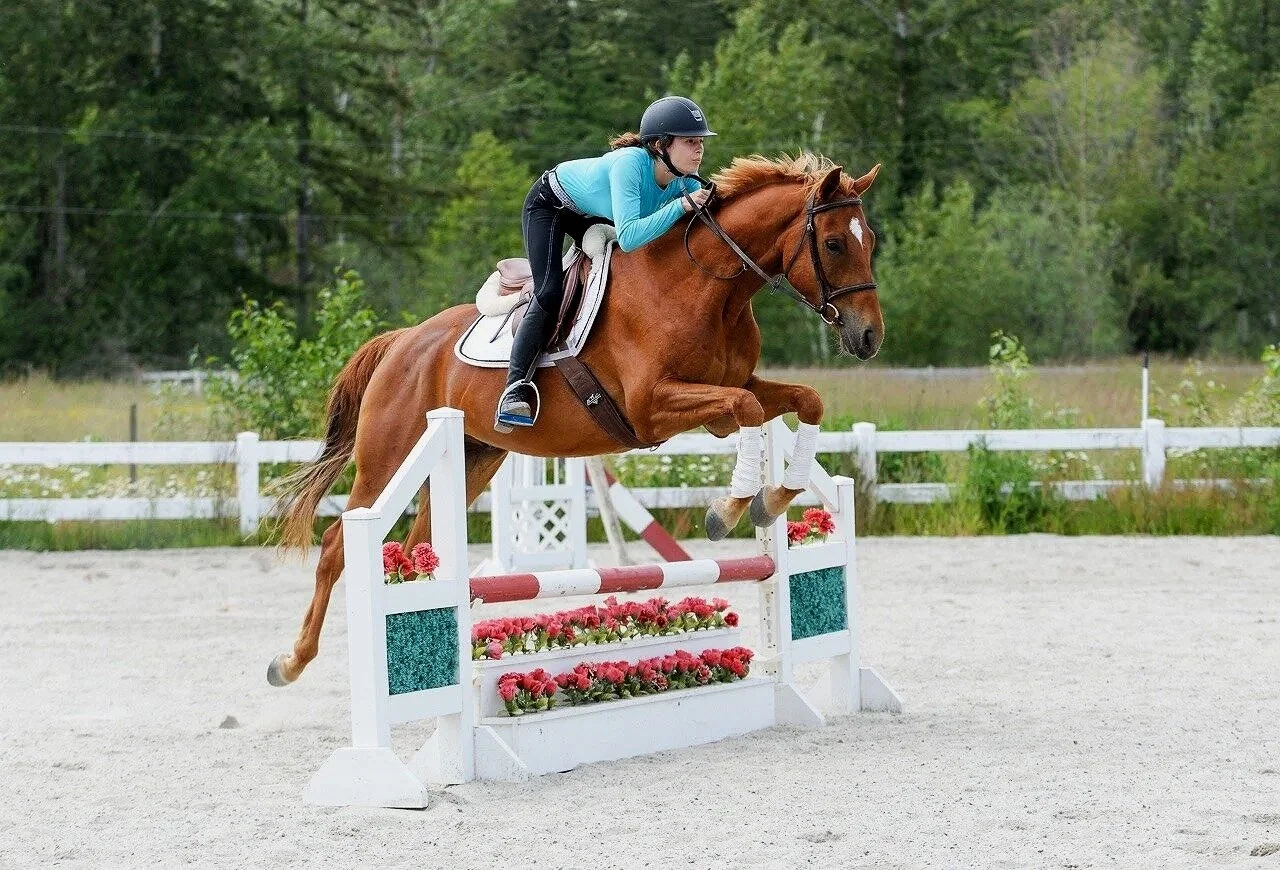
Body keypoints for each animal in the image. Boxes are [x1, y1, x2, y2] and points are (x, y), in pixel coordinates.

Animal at [266, 153, 884, 687]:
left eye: (871, 241)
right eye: (833, 242)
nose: (869, 337)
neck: (706, 287)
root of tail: (401, 342)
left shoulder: (732, 389)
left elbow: (804, 402)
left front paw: (775, 497)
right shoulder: (653, 406)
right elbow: (749, 411)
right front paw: (728, 509)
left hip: (472, 459)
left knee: (418, 545)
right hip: (389, 456)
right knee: (336, 546)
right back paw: (291, 662)